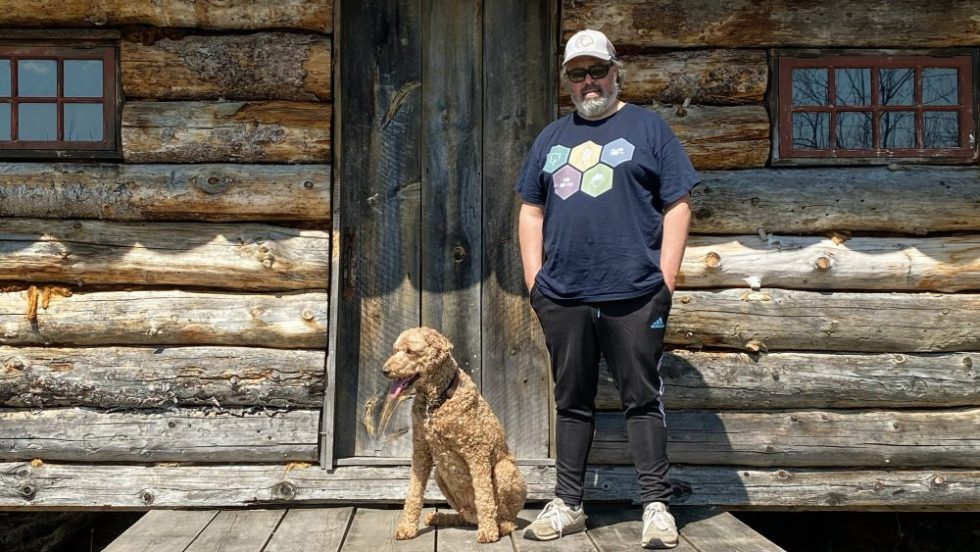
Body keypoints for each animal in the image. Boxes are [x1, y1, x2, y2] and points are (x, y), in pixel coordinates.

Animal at [383, 326, 527, 543]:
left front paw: (488, 532)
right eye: (395, 350)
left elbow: (484, 494)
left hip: (504, 469)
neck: (437, 401)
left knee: (505, 516)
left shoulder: (477, 451)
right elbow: (414, 493)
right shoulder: (421, 452)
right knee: (466, 517)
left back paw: (499, 526)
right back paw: (441, 517)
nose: (384, 370)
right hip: (440, 475)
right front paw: (407, 527)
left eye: (409, 351)